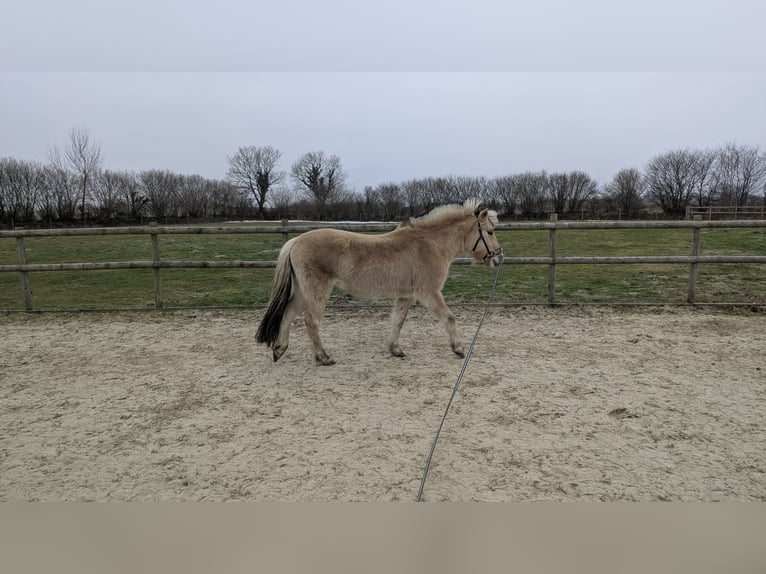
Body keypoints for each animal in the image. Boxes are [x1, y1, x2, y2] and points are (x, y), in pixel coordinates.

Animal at [255, 198, 504, 365]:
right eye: (490, 232)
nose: (499, 258)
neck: (430, 244)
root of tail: (295, 241)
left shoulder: (405, 296)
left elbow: (398, 322)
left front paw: (395, 350)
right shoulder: (429, 293)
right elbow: (449, 318)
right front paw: (459, 349)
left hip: (300, 292)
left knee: (288, 314)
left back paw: (279, 350)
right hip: (316, 292)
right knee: (310, 322)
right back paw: (324, 357)